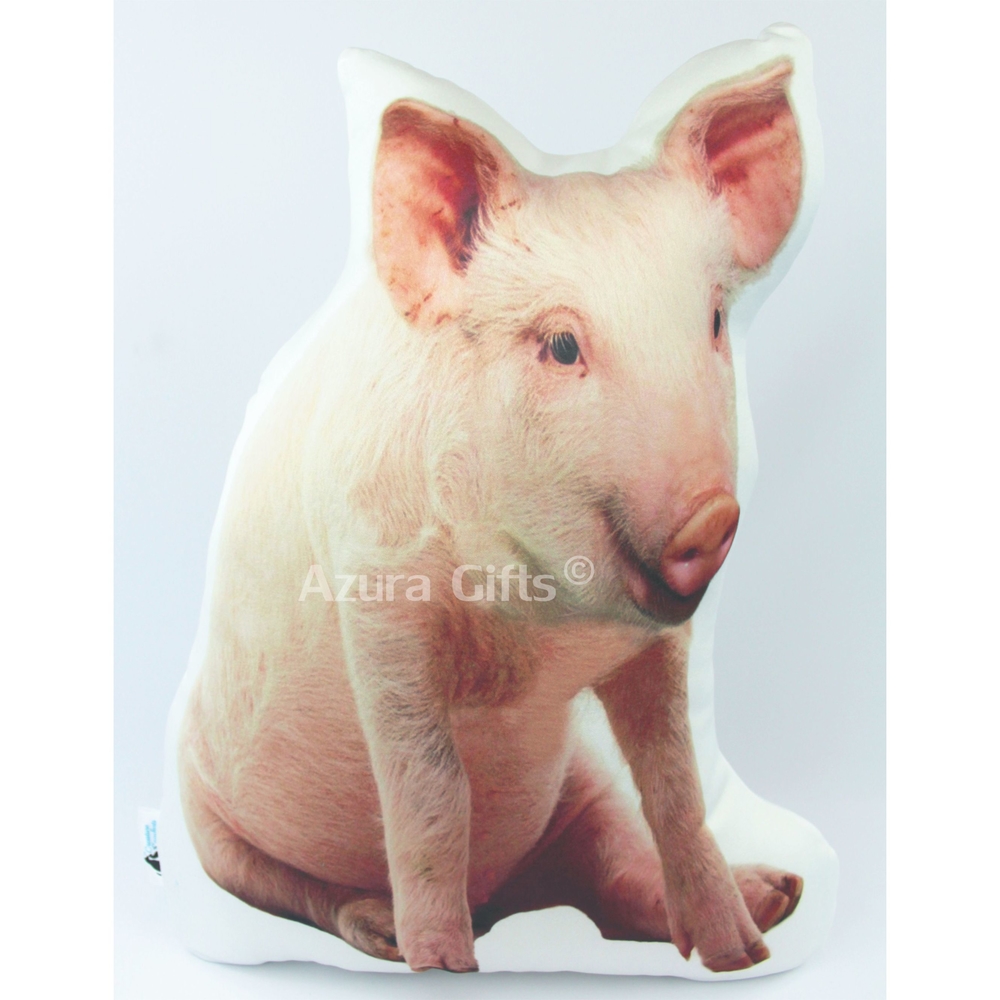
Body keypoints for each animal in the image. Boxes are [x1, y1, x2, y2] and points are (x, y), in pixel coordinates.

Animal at [178, 58, 806, 974]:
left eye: (717, 322)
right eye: (562, 346)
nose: (711, 516)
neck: (532, 629)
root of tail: (508, 893)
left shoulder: (656, 646)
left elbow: (677, 786)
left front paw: (742, 956)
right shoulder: (376, 599)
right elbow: (432, 794)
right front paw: (443, 964)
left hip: (575, 783)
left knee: (613, 858)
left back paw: (781, 894)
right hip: (213, 835)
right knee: (298, 890)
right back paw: (383, 930)